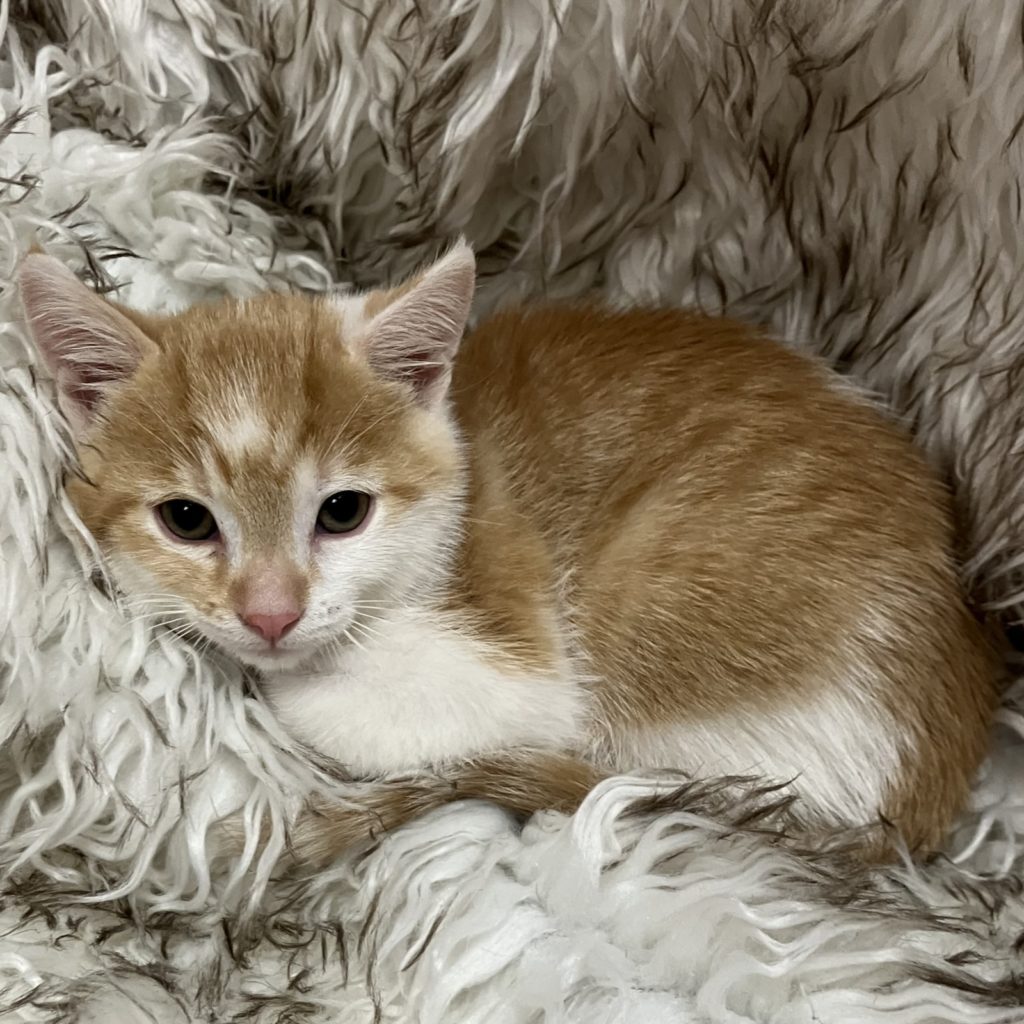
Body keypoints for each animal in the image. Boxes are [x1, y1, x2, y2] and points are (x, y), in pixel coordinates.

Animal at [18, 243, 1001, 865]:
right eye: (187, 520)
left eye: (343, 512)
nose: (270, 612)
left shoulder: (518, 653)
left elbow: (354, 709)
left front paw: (283, 685)